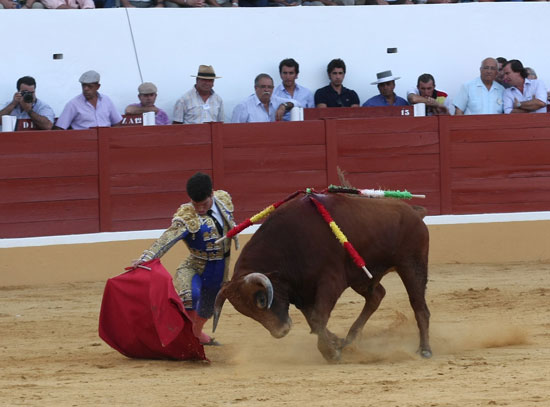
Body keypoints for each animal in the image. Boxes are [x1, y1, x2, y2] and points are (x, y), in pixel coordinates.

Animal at [213, 193, 434, 362]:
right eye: (245, 312)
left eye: (261, 299)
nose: (281, 332)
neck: (289, 245)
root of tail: (415, 212)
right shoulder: (302, 292)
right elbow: (314, 322)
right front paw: (335, 344)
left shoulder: (330, 282)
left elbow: (319, 317)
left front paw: (330, 352)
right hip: (363, 277)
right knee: (376, 296)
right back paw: (350, 340)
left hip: (412, 266)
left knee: (419, 306)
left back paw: (424, 350)